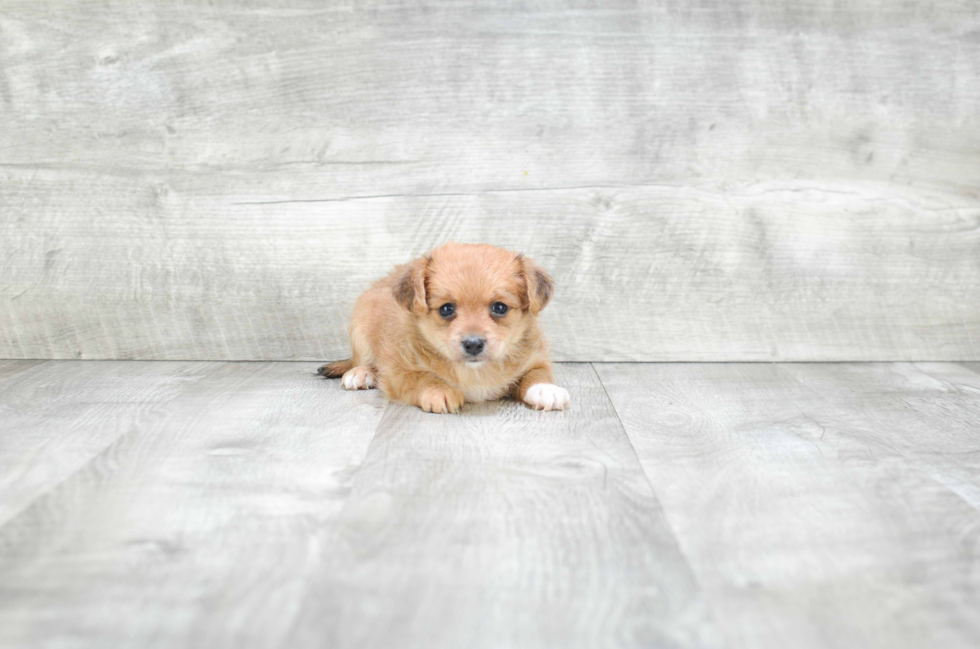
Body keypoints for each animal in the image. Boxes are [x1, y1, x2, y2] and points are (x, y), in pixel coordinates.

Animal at [318, 240, 572, 412]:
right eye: (446, 309)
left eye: (500, 308)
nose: (473, 344)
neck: (475, 373)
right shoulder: (398, 371)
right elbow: (421, 378)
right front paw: (440, 391)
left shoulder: (536, 359)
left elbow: (536, 374)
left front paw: (545, 389)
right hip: (360, 331)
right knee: (362, 361)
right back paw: (361, 373)